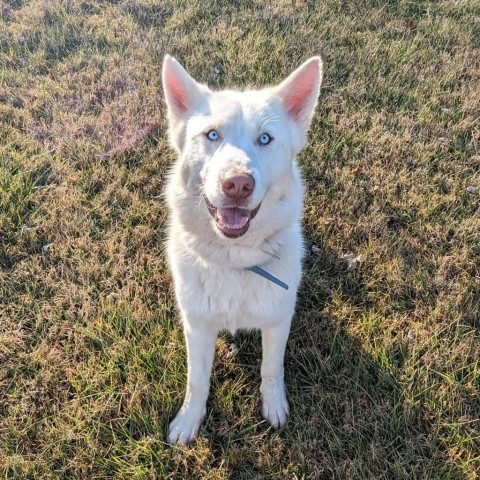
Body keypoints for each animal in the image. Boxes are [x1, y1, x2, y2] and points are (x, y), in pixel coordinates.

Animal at [163, 54, 324, 444]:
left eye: (265, 138)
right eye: (212, 135)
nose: (237, 184)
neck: (234, 262)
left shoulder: (278, 321)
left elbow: (272, 368)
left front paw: (274, 407)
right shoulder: (197, 328)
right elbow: (196, 381)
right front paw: (189, 420)